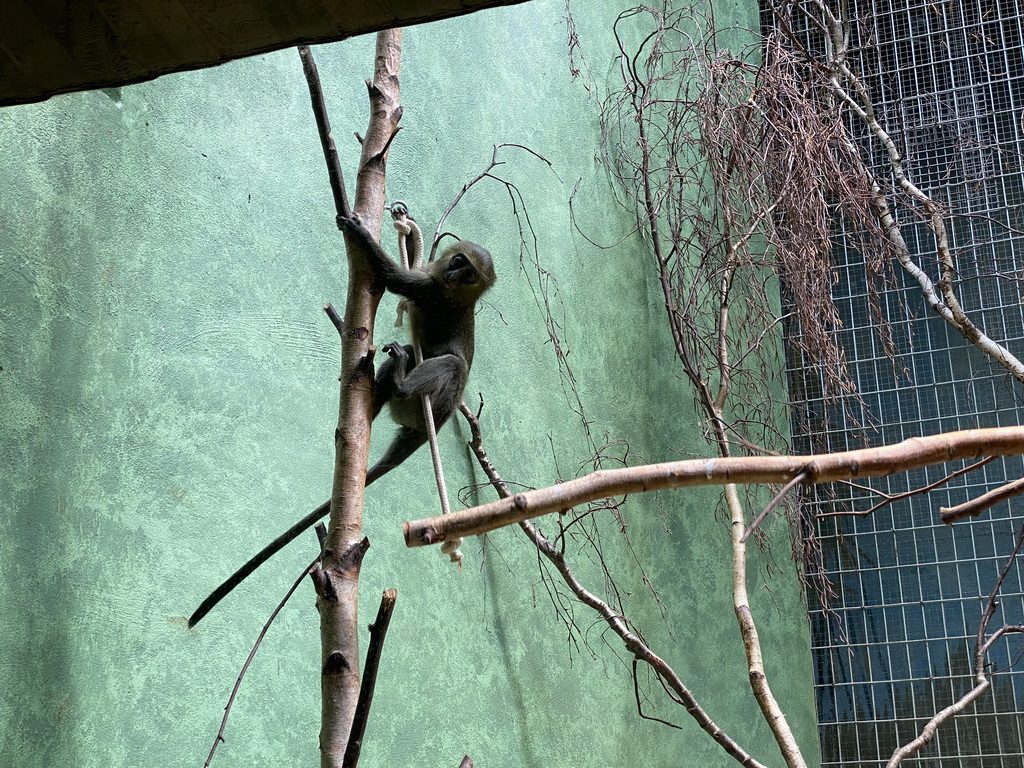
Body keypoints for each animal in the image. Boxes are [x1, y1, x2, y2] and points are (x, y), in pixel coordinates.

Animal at [190, 211, 497, 630]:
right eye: (459, 262)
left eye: (468, 274)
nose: (453, 272)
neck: (452, 291)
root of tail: (431, 424)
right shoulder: (434, 280)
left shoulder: (430, 289)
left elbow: (392, 277)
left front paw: (360, 232)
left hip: (430, 404)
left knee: (451, 365)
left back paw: (400, 382)